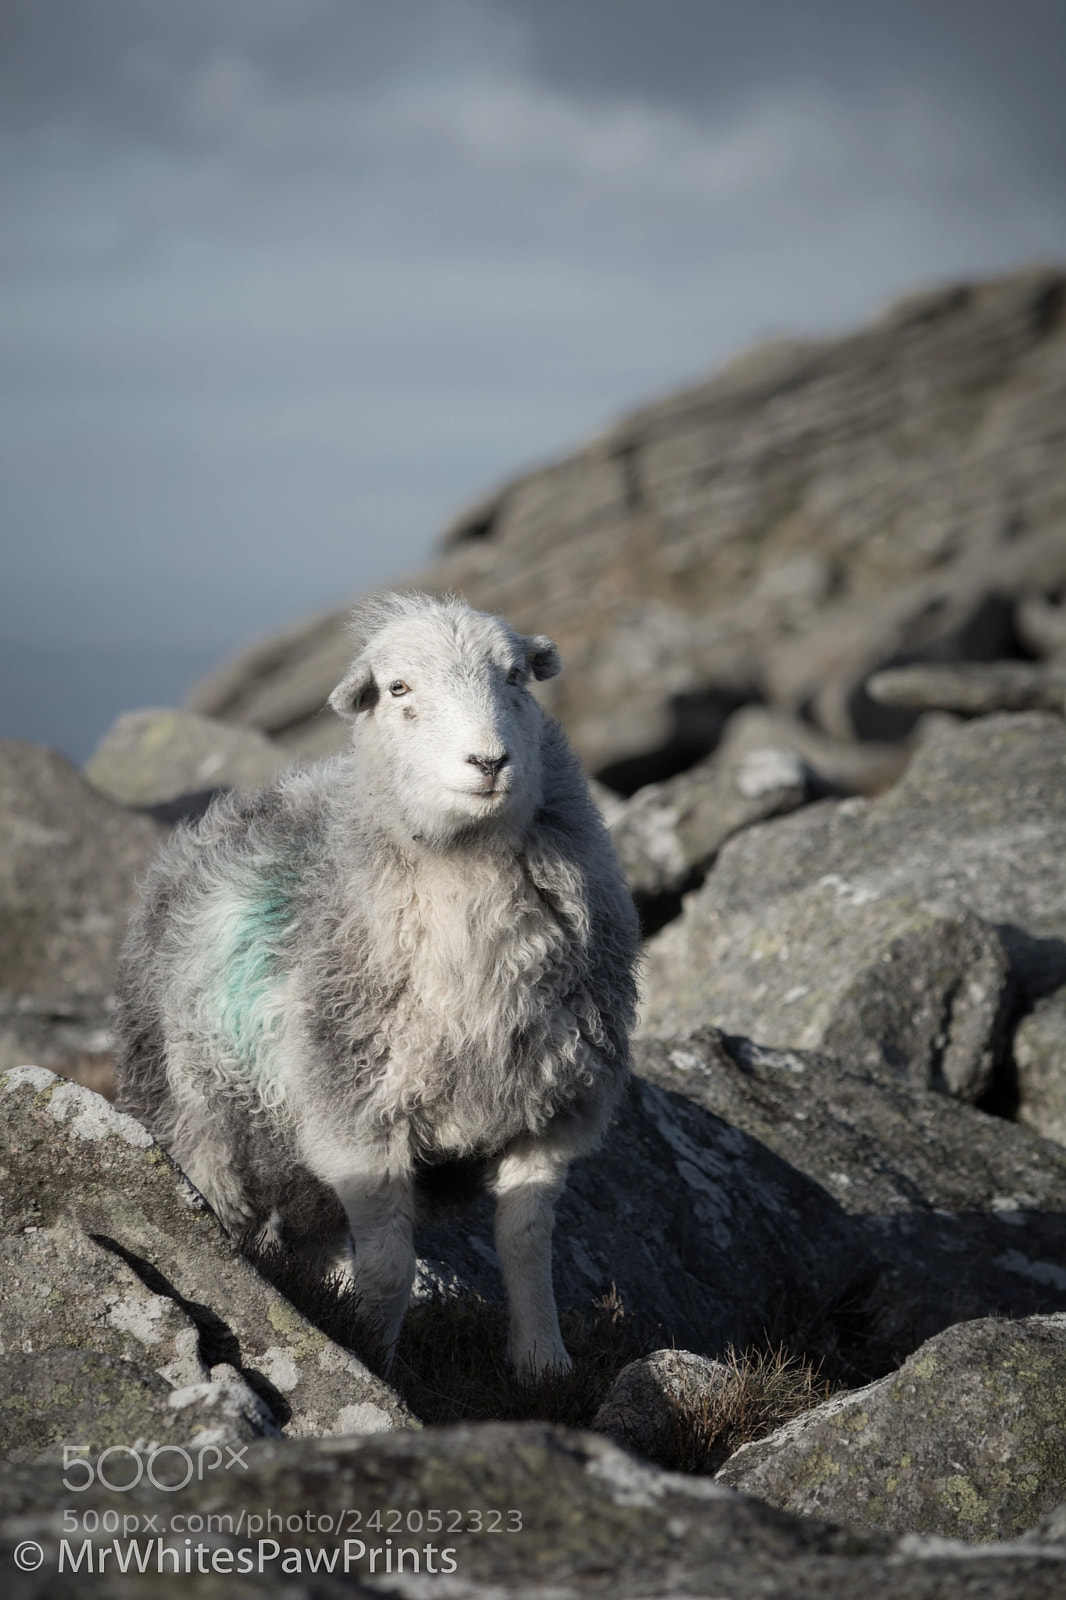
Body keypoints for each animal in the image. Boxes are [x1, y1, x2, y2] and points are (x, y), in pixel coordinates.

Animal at [114, 592, 640, 1377]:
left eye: (516, 675)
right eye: (397, 689)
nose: (489, 760)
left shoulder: (545, 1113)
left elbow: (525, 1248)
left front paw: (542, 1365)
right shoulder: (358, 1118)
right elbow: (391, 1267)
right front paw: (374, 1363)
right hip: (198, 1117)